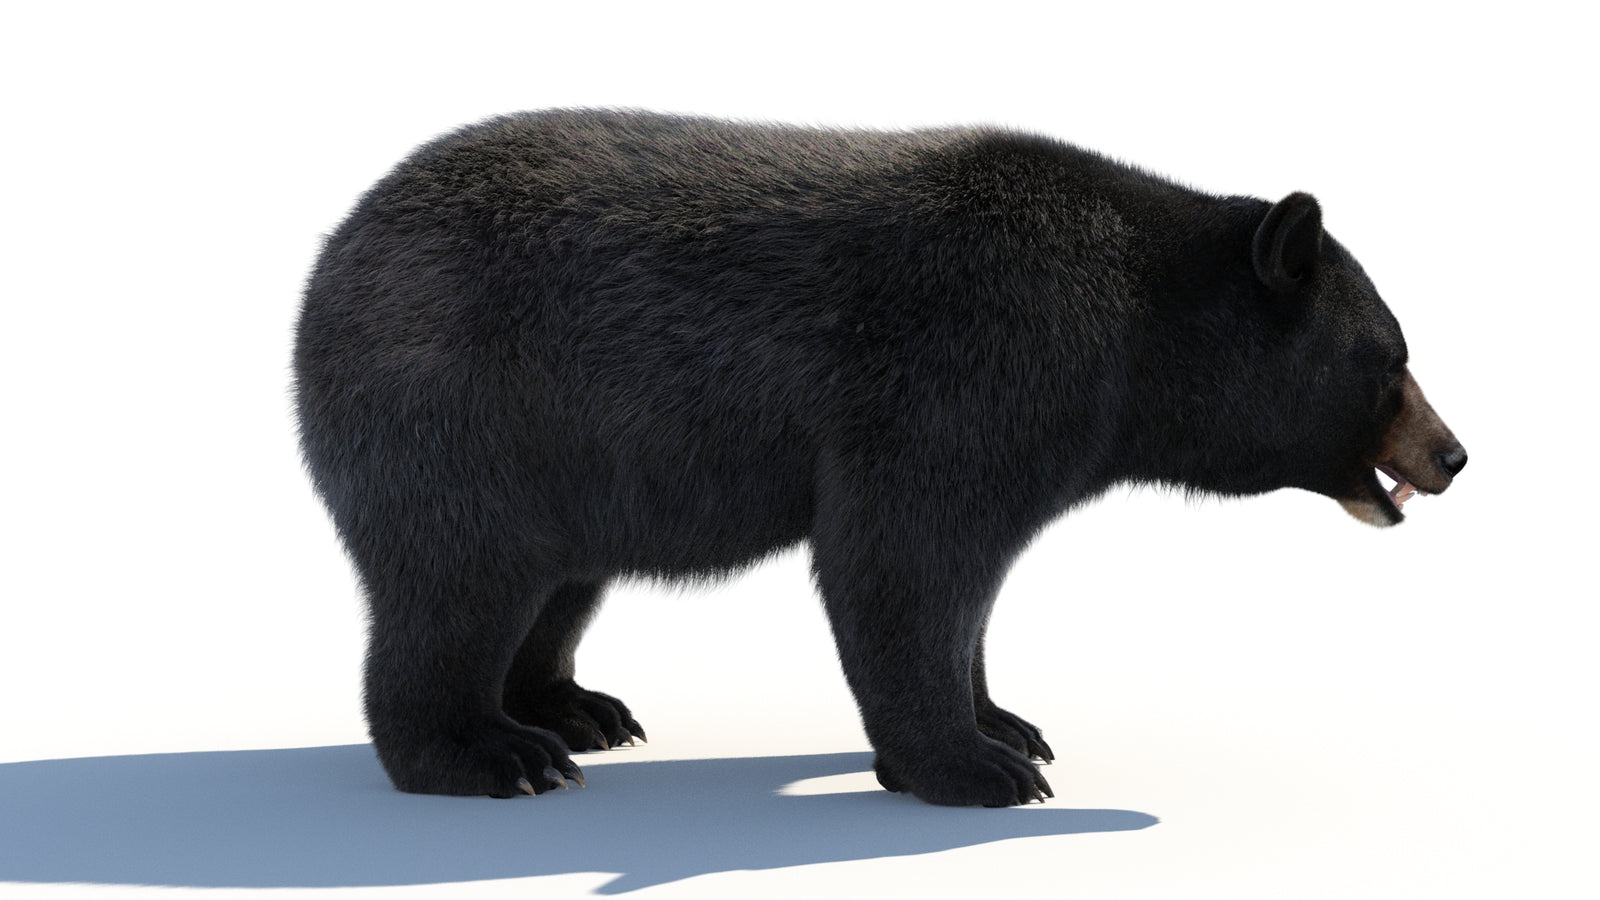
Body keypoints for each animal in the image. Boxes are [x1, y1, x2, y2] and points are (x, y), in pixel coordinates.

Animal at [294, 109, 1467, 807]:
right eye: (1390, 359)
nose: (1454, 454)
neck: (1130, 328)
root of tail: (332, 254)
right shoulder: (971, 363)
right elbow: (903, 558)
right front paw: (973, 767)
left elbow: (966, 586)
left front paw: (1007, 723)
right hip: (460, 413)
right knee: (458, 578)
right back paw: (487, 752)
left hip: (561, 461)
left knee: (556, 581)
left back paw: (571, 708)